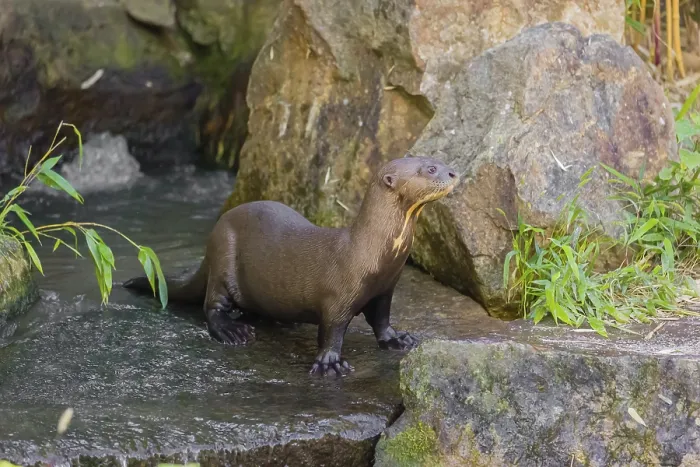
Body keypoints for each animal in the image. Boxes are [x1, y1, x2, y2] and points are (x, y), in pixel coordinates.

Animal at [123, 156, 459, 376]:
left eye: (439, 158)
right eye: (431, 169)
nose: (455, 172)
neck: (376, 253)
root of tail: (214, 234)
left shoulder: (385, 289)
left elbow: (381, 320)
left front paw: (398, 339)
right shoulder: (338, 300)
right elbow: (332, 332)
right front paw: (330, 364)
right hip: (222, 259)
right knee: (212, 305)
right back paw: (233, 331)